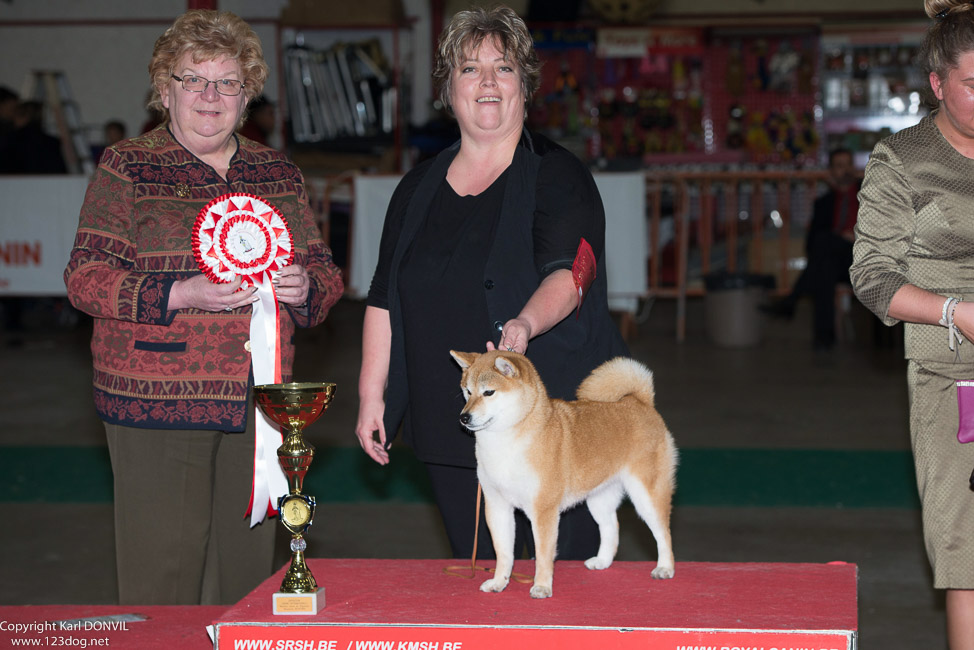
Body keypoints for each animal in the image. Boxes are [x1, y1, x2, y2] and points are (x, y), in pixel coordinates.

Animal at [450, 350, 680, 596]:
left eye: (489, 392)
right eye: (467, 391)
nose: (464, 417)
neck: (507, 444)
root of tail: (641, 402)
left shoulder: (543, 509)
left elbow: (543, 554)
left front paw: (541, 586)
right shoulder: (497, 505)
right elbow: (503, 553)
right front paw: (499, 582)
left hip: (646, 494)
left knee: (663, 533)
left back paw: (665, 568)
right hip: (599, 498)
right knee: (611, 527)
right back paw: (602, 561)